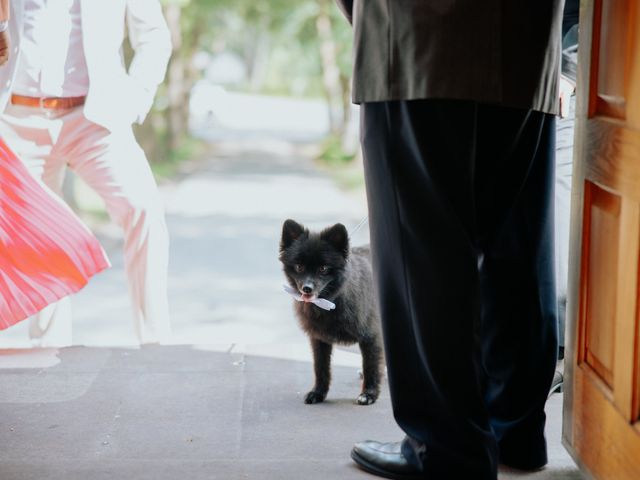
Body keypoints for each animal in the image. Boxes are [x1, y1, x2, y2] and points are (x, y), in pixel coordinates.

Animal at [278, 219, 380, 404]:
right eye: (299, 267)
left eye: (323, 269)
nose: (307, 288)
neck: (331, 301)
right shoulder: (319, 339)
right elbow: (321, 368)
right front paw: (318, 393)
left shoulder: (371, 336)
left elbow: (371, 366)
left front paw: (369, 394)